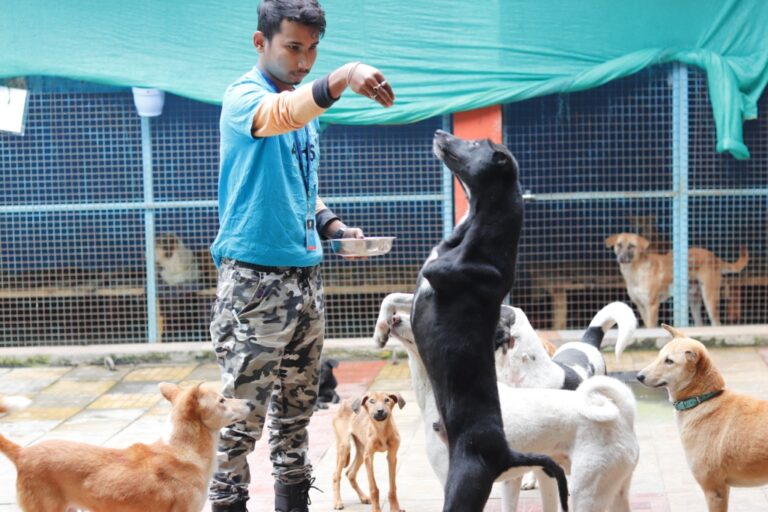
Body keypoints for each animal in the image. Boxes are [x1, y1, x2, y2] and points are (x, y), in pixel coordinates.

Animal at [604, 233, 748, 326]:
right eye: (619, 245)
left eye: (631, 246)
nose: (621, 258)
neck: (635, 271)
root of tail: (714, 257)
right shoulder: (640, 305)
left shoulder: (652, 305)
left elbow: (651, 326)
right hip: (694, 302)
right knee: (699, 323)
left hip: (709, 298)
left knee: (716, 322)